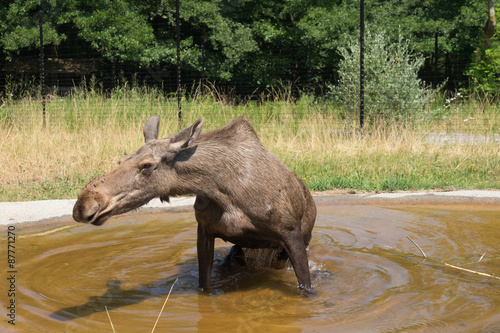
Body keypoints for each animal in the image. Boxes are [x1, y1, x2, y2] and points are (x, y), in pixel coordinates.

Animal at [72, 115, 316, 292]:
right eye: (121, 159)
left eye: (147, 165)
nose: (83, 205)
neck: (222, 191)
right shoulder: (205, 230)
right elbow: (204, 287)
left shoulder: (290, 234)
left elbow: (306, 287)